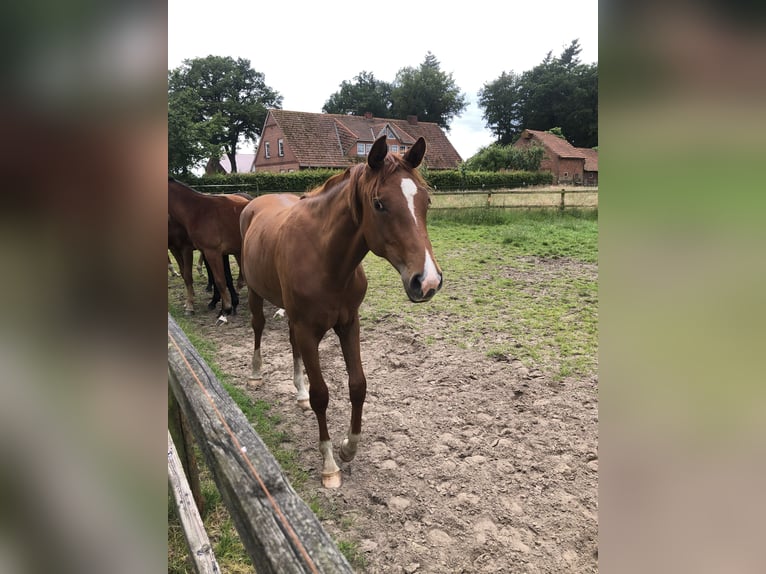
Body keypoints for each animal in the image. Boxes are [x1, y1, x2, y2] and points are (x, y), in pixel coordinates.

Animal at [240, 136, 444, 490]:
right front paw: (329, 465)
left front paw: (349, 447)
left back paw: (298, 393)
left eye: (425, 201)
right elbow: (322, 395)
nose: (427, 281)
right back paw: (255, 374)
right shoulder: (309, 330)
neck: (325, 258)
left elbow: (358, 385)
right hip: (255, 292)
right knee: (258, 326)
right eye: (379, 204)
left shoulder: (349, 324)